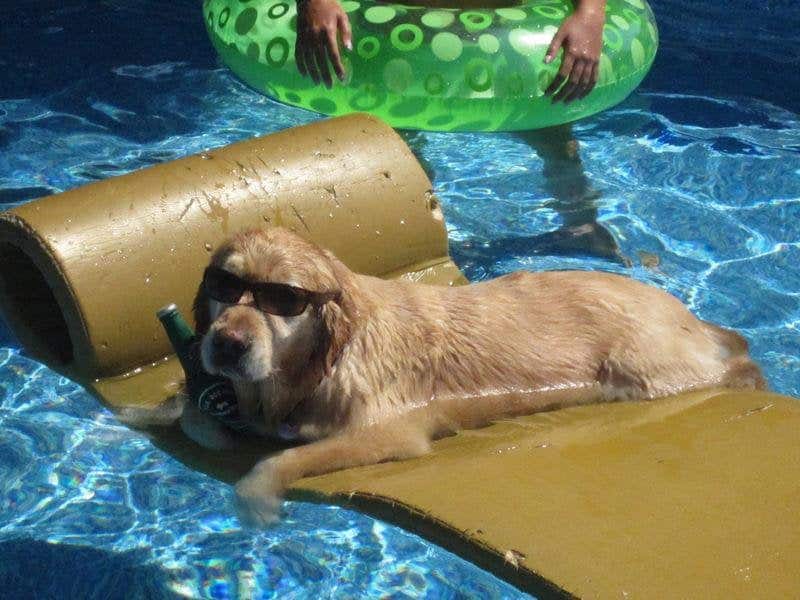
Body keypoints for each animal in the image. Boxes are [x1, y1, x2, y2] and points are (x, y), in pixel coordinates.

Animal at [186, 227, 764, 524]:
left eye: (282, 300)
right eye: (223, 284)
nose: (227, 342)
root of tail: (685, 313)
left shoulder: (389, 430)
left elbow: (282, 457)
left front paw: (256, 494)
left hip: (646, 367)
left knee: (735, 364)